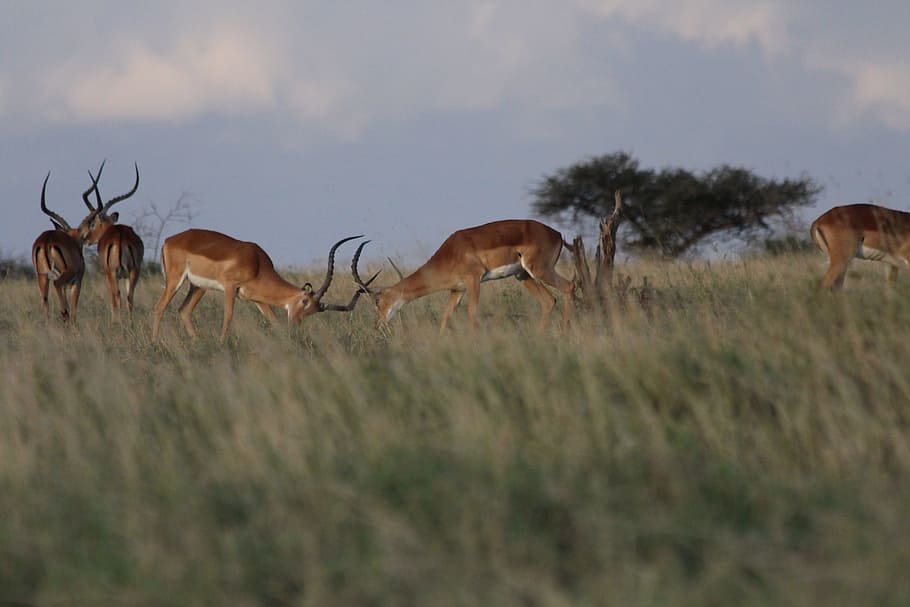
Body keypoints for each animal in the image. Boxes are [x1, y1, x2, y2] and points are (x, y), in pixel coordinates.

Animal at [81, 161, 144, 319]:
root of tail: (120, 236)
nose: (86, 239)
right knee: (129, 296)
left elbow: (112, 297)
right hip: (134, 271)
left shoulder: (106, 273)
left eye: (93, 223)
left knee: (117, 295)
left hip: (113, 272)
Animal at [151, 229, 377, 343]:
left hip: (198, 287)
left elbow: (273, 320)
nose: (294, 323)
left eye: (312, 311)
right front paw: (221, 344)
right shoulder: (230, 287)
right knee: (159, 307)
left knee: (184, 311)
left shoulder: (255, 298)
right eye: (304, 301)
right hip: (175, 280)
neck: (257, 264)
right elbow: (228, 315)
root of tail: (170, 239)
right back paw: (154, 343)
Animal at [353, 219, 575, 334]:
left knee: (569, 286)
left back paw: (565, 332)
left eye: (378, 301)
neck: (451, 253)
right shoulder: (457, 289)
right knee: (548, 301)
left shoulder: (473, 281)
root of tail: (557, 234)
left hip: (540, 270)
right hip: (523, 275)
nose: (378, 325)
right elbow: (446, 316)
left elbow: (471, 313)